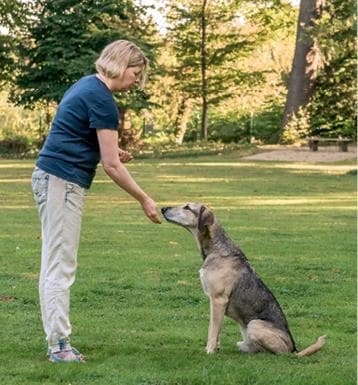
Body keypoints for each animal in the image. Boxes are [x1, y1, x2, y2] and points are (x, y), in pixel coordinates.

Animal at [161, 202, 326, 356]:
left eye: (187, 207)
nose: (162, 209)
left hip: (254, 324)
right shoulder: (216, 303)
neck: (216, 249)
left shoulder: (218, 299)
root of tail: (293, 349)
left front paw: (209, 351)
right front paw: (215, 348)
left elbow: (212, 330)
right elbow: (216, 329)